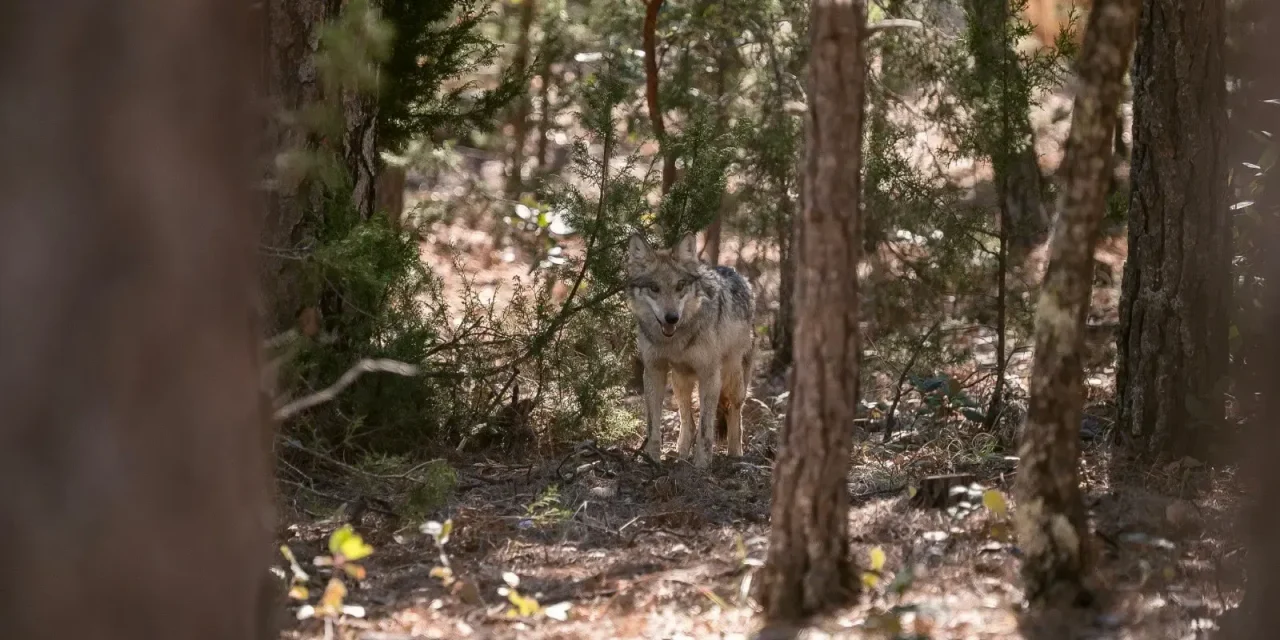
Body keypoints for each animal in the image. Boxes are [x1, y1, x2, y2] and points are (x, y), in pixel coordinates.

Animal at [626, 232, 755, 469]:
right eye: (654, 288)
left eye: (680, 286)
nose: (671, 318)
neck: (675, 341)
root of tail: (738, 274)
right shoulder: (654, 370)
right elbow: (653, 425)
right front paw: (652, 460)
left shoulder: (709, 375)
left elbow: (706, 429)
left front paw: (702, 466)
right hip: (680, 381)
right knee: (688, 422)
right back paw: (681, 456)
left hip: (733, 378)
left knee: (735, 414)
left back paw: (735, 456)